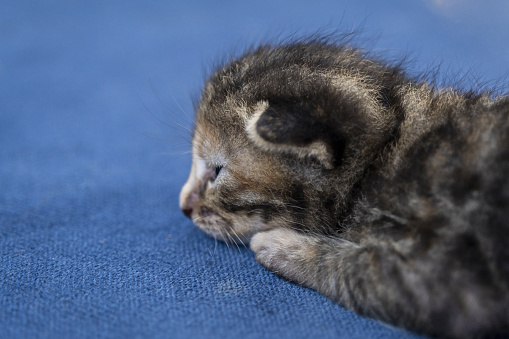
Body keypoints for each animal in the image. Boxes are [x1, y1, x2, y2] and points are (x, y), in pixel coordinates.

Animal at [179, 38, 508, 338]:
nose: (184, 207)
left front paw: (281, 245)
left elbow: (361, 273)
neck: (380, 158)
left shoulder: (450, 280)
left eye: (217, 171)